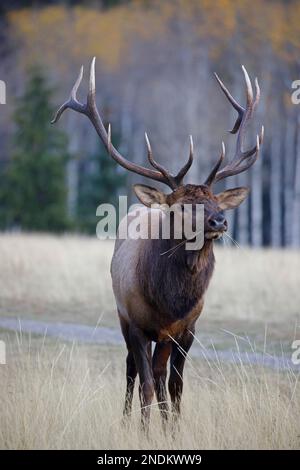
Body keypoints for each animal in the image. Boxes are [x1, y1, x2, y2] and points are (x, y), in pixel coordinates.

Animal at [52, 57, 264, 430]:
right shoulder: (137, 324)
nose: (219, 221)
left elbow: (175, 385)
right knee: (132, 371)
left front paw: (173, 431)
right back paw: (126, 421)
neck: (170, 302)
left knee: (160, 375)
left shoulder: (186, 329)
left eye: (215, 202)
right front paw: (144, 432)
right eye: (181, 206)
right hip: (122, 316)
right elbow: (147, 384)